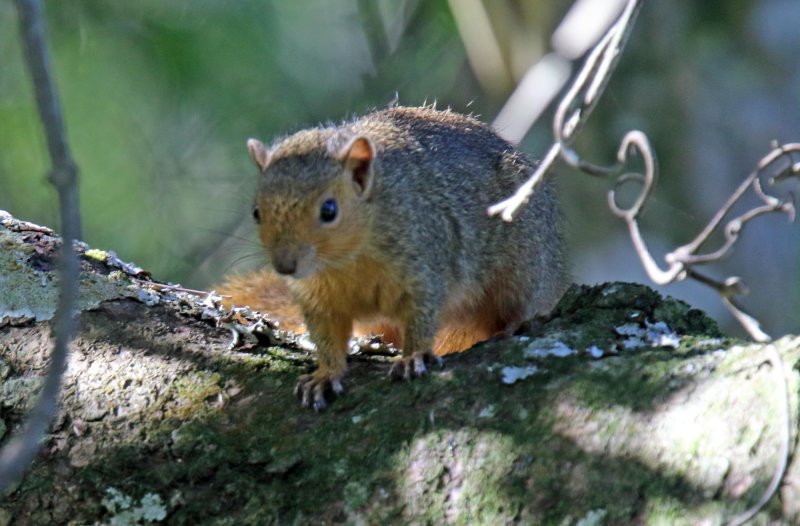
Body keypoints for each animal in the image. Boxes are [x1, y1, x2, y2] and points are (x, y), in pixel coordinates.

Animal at [219, 106, 564, 412]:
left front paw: (413, 357)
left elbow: (422, 315)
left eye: (329, 210)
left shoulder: (425, 262)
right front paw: (326, 374)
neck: (345, 260)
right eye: (257, 212)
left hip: (525, 262)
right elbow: (327, 337)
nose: (285, 266)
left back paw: (514, 322)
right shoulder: (319, 299)